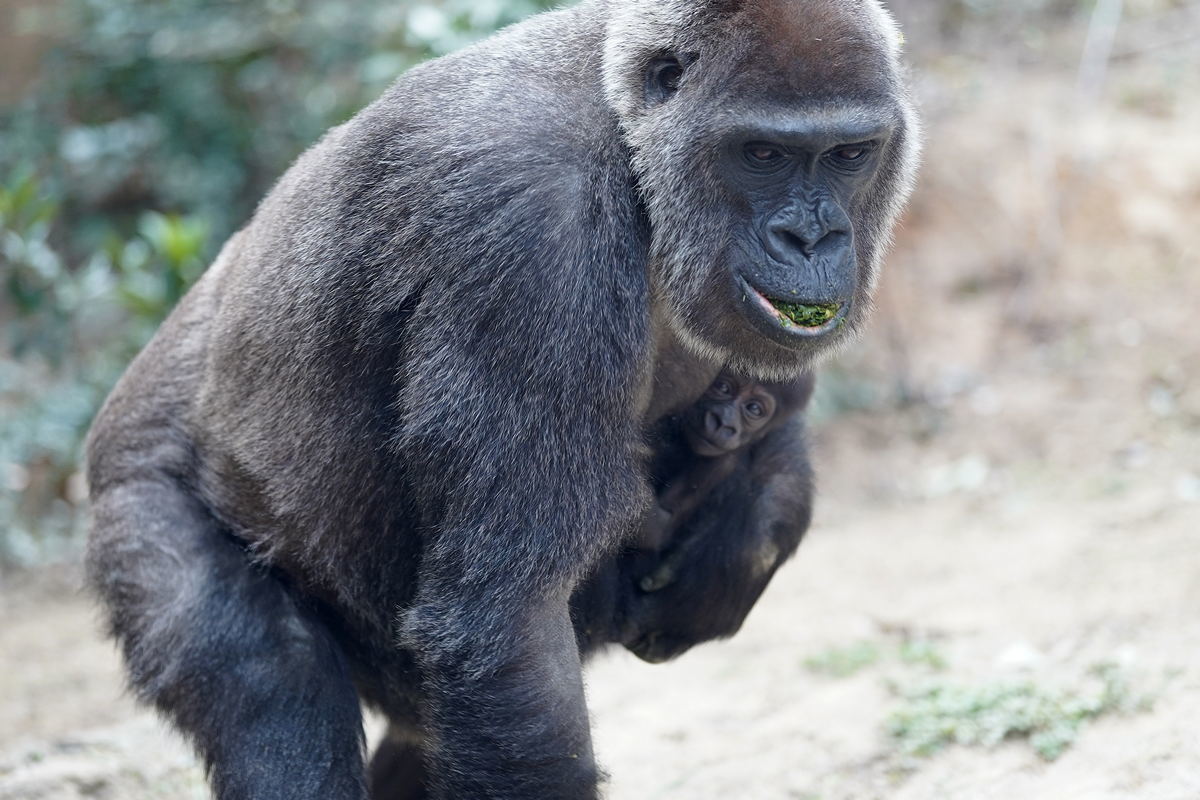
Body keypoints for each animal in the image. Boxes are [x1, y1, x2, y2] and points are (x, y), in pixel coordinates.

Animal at [84, 1, 916, 800]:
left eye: (850, 155)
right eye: (762, 154)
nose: (811, 238)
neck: (629, 137)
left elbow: (778, 413)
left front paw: (749, 535)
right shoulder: (529, 227)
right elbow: (511, 625)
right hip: (140, 505)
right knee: (270, 690)